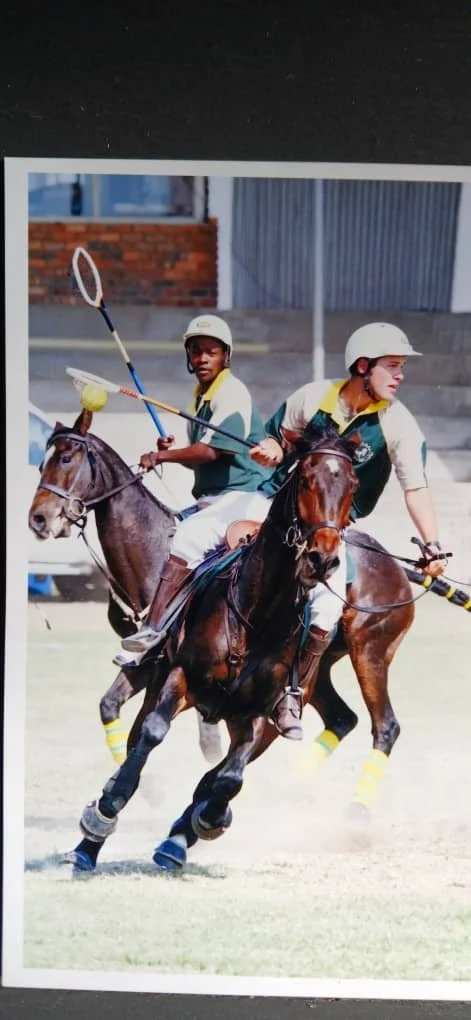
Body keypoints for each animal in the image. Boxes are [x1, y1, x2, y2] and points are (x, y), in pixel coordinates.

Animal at [27, 407, 224, 766]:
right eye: (40, 464)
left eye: (65, 458)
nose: (38, 519)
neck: (154, 558)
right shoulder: (146, 662)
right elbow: (113, 710)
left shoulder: (168, 666)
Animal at [61, 420, 416, 873]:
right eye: (305, 478)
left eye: (352, 484)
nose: (323, 560)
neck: (258, 614)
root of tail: (399, 573)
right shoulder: (174, 676)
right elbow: (147, 735)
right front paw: (107, 806)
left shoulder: (261, 713)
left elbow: (225, 779)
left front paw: (204, 820)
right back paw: (93, 844)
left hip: (368, 652)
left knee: (378, 725)